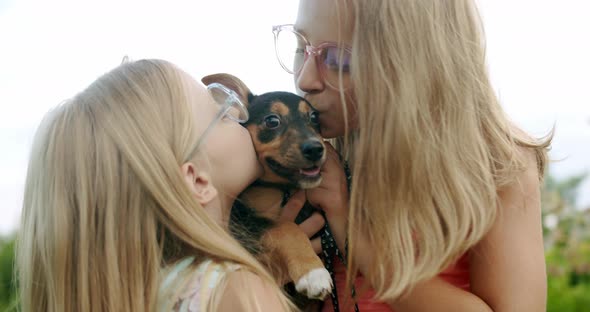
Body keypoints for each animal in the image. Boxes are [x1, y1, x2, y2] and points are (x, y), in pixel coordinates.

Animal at [202, 73, 332, 300]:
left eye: (314, 117)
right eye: (272, 121)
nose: (316, 149)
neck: (283, 188)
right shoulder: (244, 221)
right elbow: (286, 227)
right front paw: (313, 272)